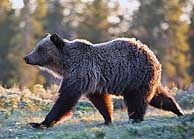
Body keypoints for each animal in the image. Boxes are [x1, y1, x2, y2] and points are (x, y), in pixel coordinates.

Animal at [23, 33, 183, 128]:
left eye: (39, 48)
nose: (26, 57)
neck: (64, 64)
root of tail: (151, 53)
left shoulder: (80, 72)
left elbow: (66, 98)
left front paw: (39, 123)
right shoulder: (92, 81)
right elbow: (100, 101)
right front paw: (107, 119)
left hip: (136, 76)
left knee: (137, 100)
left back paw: (134, 118)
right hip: (147, 80)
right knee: (158, 97)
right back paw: (178, 110)